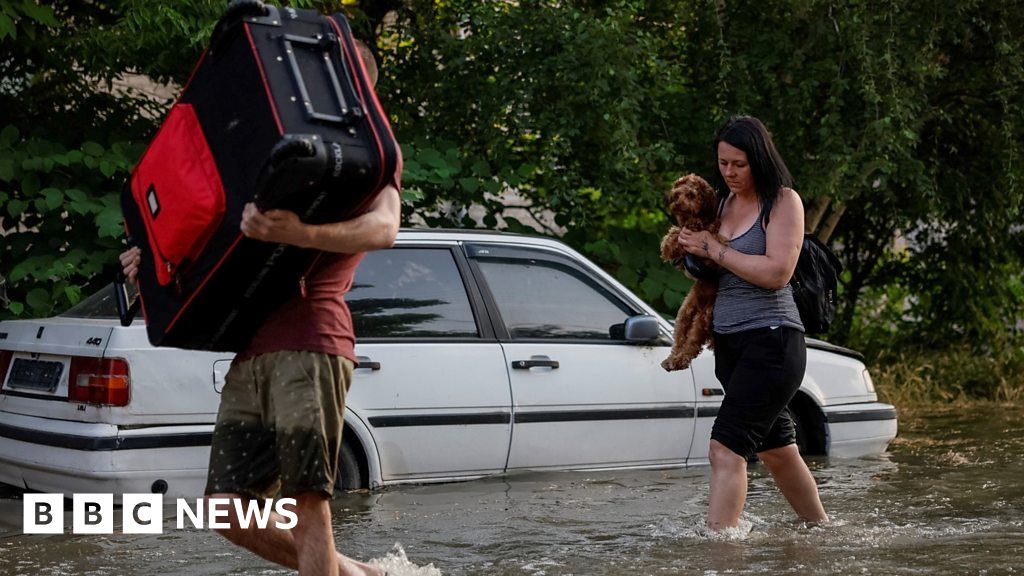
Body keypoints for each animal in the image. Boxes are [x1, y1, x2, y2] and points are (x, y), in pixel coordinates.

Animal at [659, 172, 724, 368]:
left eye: (691, 195)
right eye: (677, 192)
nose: (676, 201)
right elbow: (674, 234)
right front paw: (670, 245)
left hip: (704, 317)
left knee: (693, 345)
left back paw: (680, 359)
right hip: (685, 312)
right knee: (680, 339)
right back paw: (672, 360)